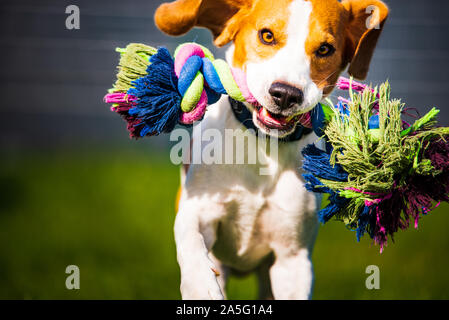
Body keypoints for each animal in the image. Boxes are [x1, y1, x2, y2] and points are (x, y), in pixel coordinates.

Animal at [153, 0, 384, 300]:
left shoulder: (292, 259)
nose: (286, 94)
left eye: (324, 49)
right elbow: (190, 239)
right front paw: (201, 287)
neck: (264, 146)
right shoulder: (198, 208)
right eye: (267, 35)